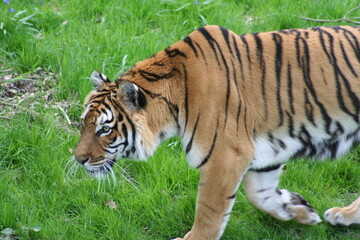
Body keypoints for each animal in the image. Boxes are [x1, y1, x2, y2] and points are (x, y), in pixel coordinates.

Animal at [74, 25, 360, 239]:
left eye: (105, 129)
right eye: (84, 124)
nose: (78, 159)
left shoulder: (226, 156)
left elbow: (208, 214)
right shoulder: (263, 151)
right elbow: (261, 195)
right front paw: (298, 209)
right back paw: (343, 216)